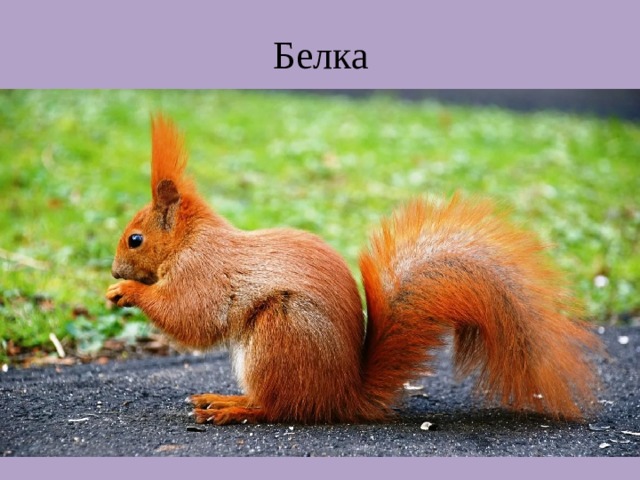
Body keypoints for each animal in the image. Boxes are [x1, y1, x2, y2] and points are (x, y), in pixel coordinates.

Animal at [106, 114, 602, 425]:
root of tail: (343, 395)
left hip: (280, 333)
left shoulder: (203, 272)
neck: (189, 240)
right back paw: (223, 398)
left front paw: (129, 293)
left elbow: (191, 316)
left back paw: (235, 409)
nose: (113, 272)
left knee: (280, 408)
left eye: (135, 239)